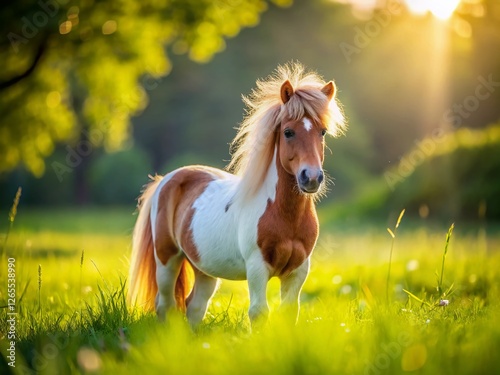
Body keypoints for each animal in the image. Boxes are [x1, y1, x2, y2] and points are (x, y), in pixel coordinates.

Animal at [127, 64, 346, 326]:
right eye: (288, 132)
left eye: (322, 132)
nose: (311, 177)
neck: (285, 215)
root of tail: (166, 179)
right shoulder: (257, 267)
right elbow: (259, 312)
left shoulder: (298, 271)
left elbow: (288, 313)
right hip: (167, 259)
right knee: (165, 305)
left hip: (204, 269)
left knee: (194, 307)